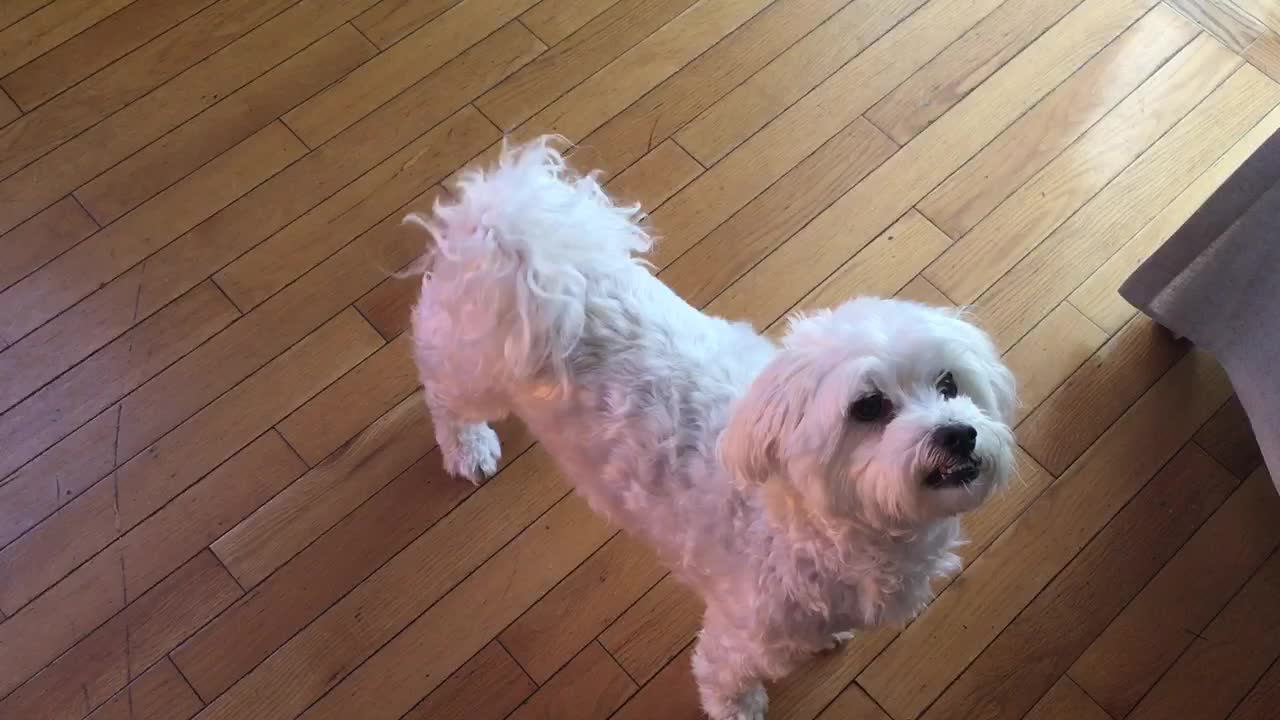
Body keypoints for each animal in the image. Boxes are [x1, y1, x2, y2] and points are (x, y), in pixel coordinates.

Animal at [404, 137, 1013, 712]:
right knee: (443, 396)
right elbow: (725, 679)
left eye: (949, 384)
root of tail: (509, 223)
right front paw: (739, 709)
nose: (958, 433)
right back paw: (467, 447)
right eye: (868, 407)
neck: (812, 523)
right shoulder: (743, 634)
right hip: (471, 363)